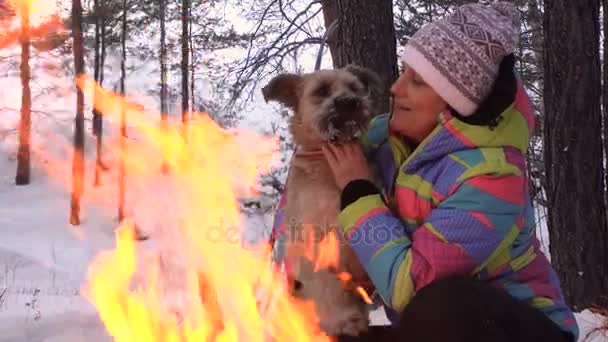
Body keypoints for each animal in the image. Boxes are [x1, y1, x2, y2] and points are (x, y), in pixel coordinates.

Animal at [260, 64, 380, 336]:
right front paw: (345, 321)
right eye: (322, 90)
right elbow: (328, 286)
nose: (349, 102)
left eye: (354, 87)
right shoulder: (320, 244)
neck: (325, 161)